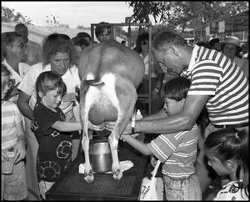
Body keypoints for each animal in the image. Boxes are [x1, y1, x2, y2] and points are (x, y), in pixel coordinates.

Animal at [78, 40, 145, 182]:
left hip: (83, 108)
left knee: (85, 139)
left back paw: (88, 173)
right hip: (126, 106)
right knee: (113, 137)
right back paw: (117, 171)